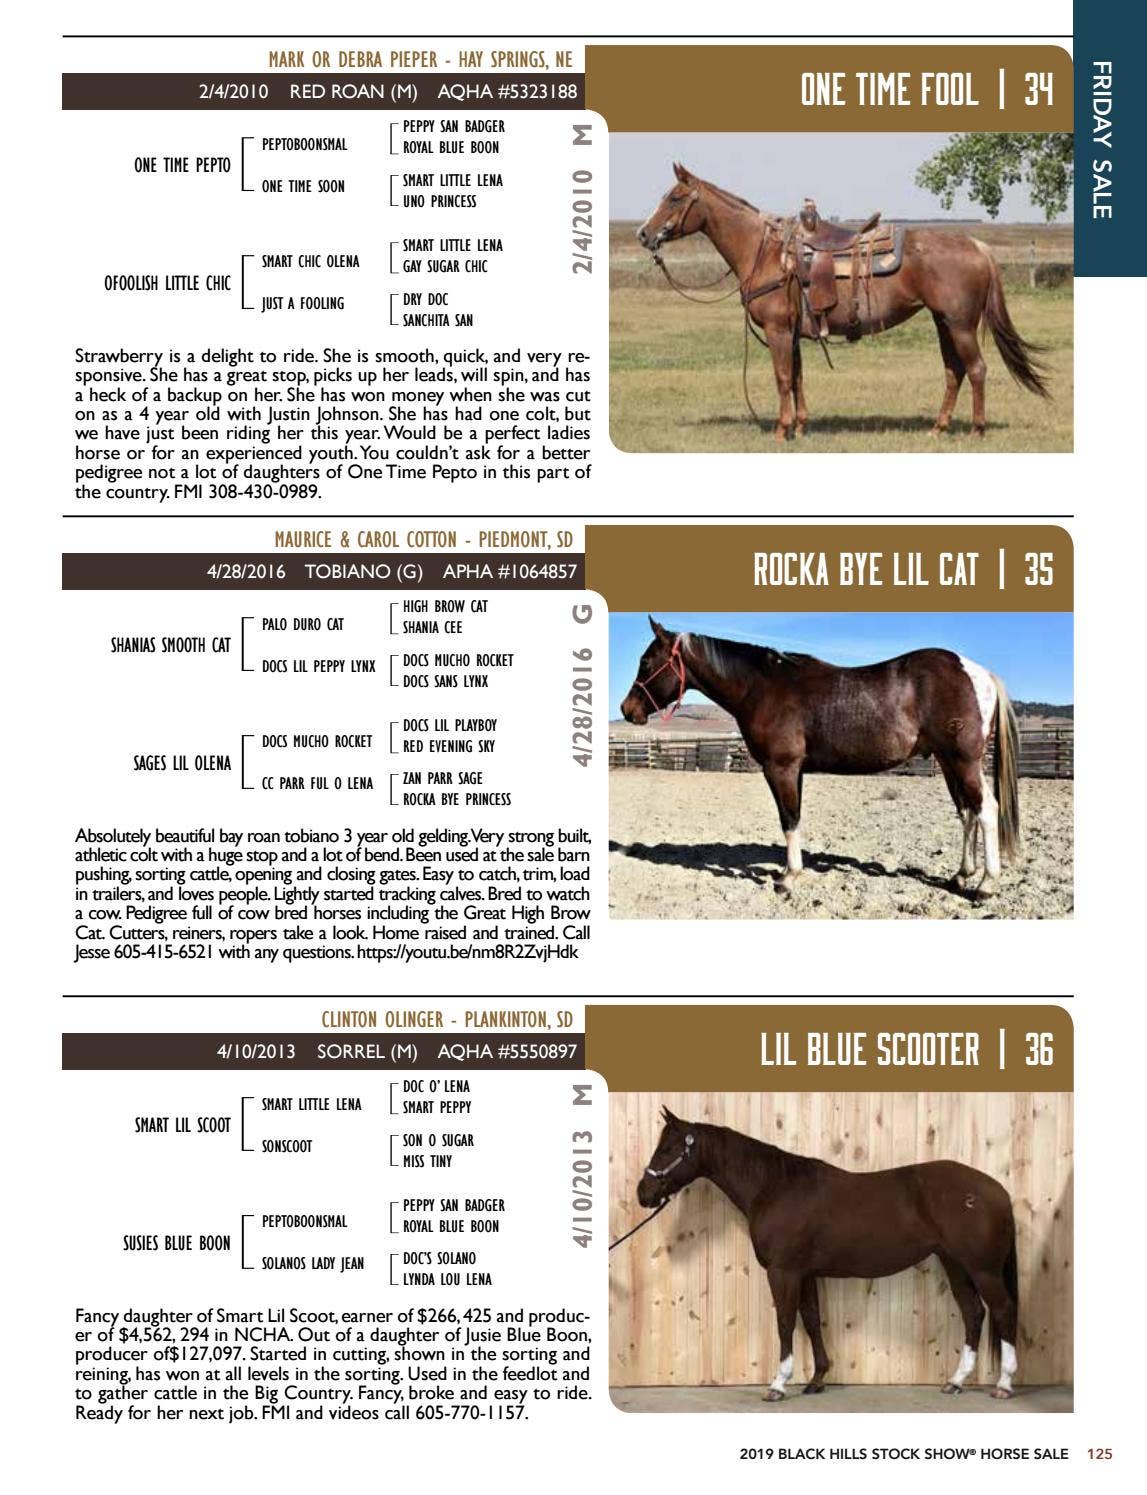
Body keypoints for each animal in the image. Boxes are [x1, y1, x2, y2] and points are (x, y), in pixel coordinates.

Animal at [619, 618, 1020, 899]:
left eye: (646, 662)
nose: (627, 710)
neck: (762, 688)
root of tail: (979, 673)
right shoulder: (794, 770)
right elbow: (794, 818)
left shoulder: (780, 768)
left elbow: (789, 819)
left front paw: (788, 879)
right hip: (949, 762)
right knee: (967, 813)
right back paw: (962, 874)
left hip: (963, 761)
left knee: (985, 810)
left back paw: (985, 885)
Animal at [635, 1108, 1021, 1400]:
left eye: (668, 1148)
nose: (644, 1193)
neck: (775, 1187)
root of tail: (998, 1190)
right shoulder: (805, 1274)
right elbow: (810, 1319)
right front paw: (817, 1379)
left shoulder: (783, 1272)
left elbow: (785, 1321)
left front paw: (778, 1384)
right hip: (955, 1264)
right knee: (973, 1312)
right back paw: (955, 1381)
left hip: (982, 1269)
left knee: (1002, 1309)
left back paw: (1003, 1384)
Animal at [636, 164, 1049, 442]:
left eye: (675, 198)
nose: (643, 234)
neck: (764, 252)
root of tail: (976, 245)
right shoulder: (792, 332)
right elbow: (797, 377)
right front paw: (801, 426)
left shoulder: (777, 330)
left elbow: (782, 377)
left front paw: (781, 430)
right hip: (943, 322)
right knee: (955, 371)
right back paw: (939, 426)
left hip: (960, 323)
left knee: (976, 369)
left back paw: (977, 429)